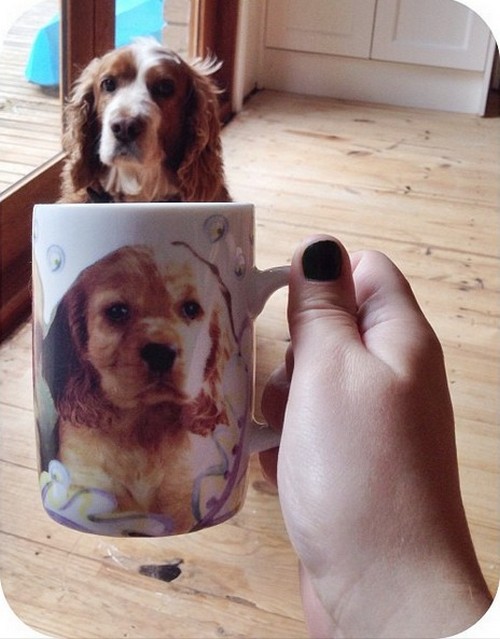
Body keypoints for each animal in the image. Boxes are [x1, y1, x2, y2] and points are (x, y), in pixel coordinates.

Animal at [42, 242, 237, 532]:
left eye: (191, 309)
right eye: (116, 311)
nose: (160, 354)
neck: (142, 425)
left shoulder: (183, 497)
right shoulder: (88, 486)